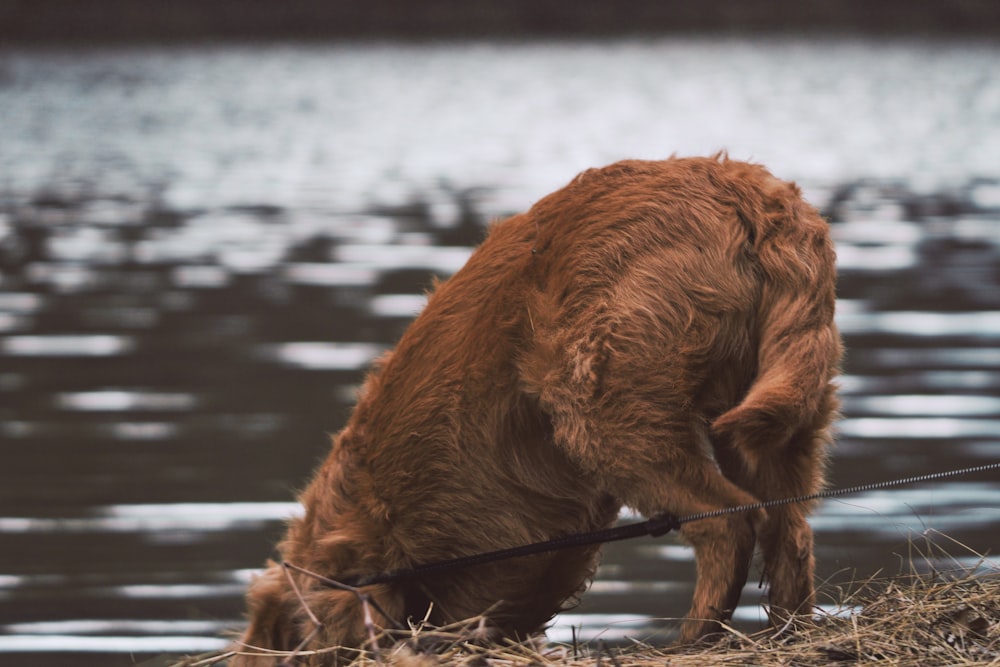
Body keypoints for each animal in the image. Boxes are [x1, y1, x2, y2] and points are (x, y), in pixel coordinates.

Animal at [234, 155, 844, 664]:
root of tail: (748, 189)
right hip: (775, 413)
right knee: (790, 531)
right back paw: (789, 635)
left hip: (607, 413)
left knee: (728, 523)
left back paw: (692, 642)